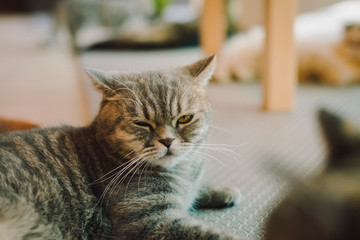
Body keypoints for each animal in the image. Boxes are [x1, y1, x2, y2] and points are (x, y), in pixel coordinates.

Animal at [0, 55, 242, 239]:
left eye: (184, 119)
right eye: (142, 123)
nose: (167, 140)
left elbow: (199, 187)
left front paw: (223, 190)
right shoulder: (149, 221)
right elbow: (212, 235)